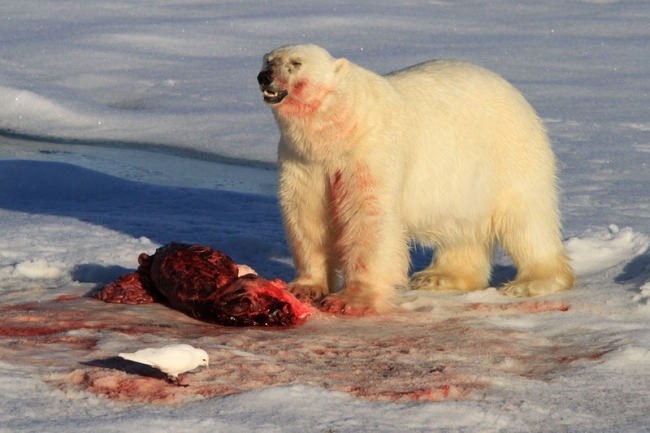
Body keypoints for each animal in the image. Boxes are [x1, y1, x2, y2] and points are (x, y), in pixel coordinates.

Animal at [257, 44, 575, 314]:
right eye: (267, 59)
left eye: (296, 63)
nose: (264, 77)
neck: (338, 131)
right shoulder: (304, 160)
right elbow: (308, 215)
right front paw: (306, 288)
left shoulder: (371, 151)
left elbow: (369, 218)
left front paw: (350, 300)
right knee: (461, 228)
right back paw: (438, 277)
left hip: (510, 153)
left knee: (526, 221)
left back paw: (531, 282)